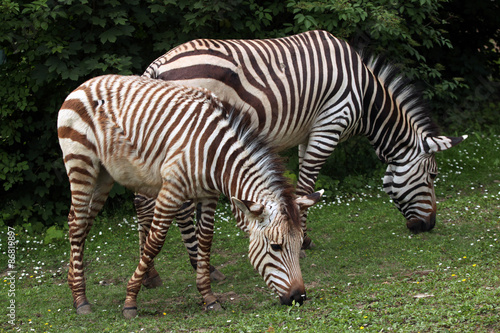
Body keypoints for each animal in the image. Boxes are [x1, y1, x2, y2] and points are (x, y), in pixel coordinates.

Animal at [56, 74, 322, 316]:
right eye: (276, 247)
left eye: (300, 243)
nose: (299, 298)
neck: (216, 155)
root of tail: (84, 84)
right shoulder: (170, 190)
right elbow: (155, 242)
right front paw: (130, 299)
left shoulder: (209, 195)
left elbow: (205, 240)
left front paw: (209, 296)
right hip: (81, 164)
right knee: (77, 224)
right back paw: (80, 299)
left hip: (104, 176)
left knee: (81, 223)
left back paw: (72, 283)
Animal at [135, 29, 466, 282]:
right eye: (432, 175)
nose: (428, 226)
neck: (365, 94)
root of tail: (157, 65)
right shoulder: (329, 126)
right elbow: (307, 184)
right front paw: (303, 239)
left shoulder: (309, 134)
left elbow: (303, 188)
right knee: (176, 206)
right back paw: (199, 266)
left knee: (143, 200)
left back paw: (151, 274)